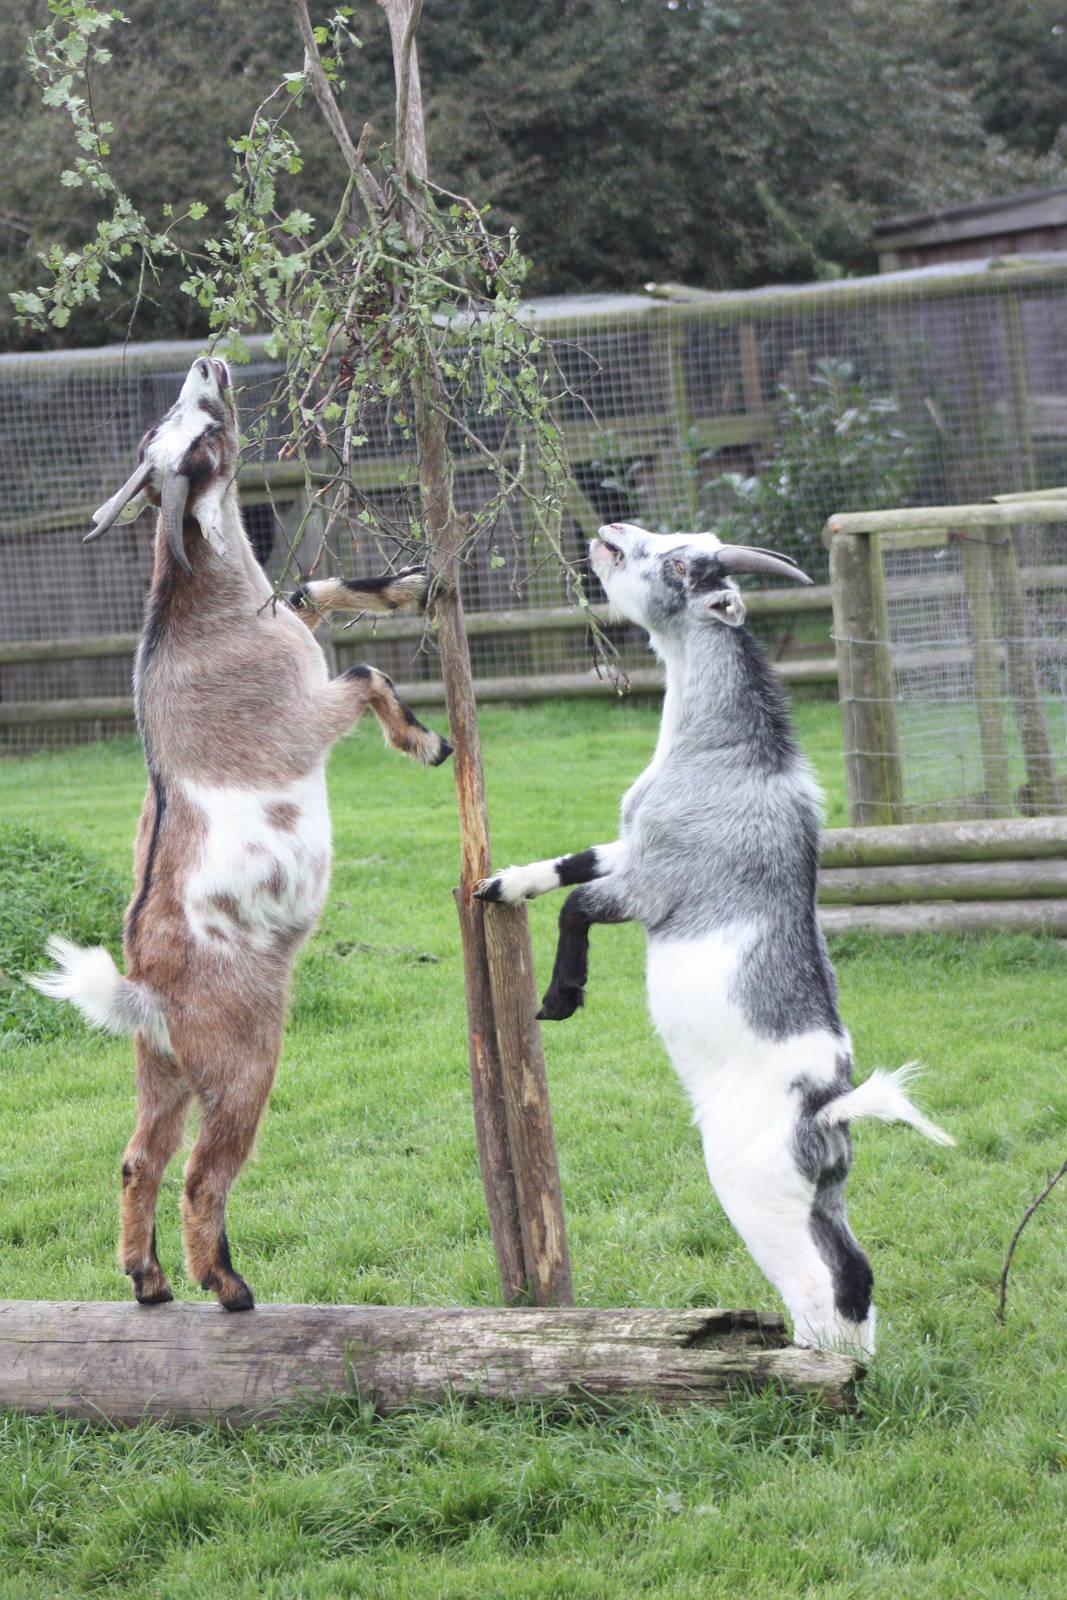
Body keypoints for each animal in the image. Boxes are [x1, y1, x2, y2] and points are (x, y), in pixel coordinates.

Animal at [30, 356, 451, 1312]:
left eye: (179, 417)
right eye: (201, 433)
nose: (207, 363)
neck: (206, 608)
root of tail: (147, 991)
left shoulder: (290, 621)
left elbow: (311, 591)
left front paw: (408, 583)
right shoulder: (304, 718)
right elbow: (366, 671)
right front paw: (426, 742)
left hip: (161, 1071)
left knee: (137, 1158)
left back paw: (148, 1281)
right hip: (242, 1062)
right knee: (200, 1175)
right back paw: (226, 1285)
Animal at [476, 521, 952, 1353]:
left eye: (677, 562)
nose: (611, 531)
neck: (729, 755)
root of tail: (824, 1111)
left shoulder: (653, 886)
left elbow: (580, 907)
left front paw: (560, 999)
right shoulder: (629, 847)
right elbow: (573, 864)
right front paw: (503, 885)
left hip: (752, 1192)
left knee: (815, 1282)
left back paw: (804, 1366)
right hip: (821, 1197)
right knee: (854, 1268)